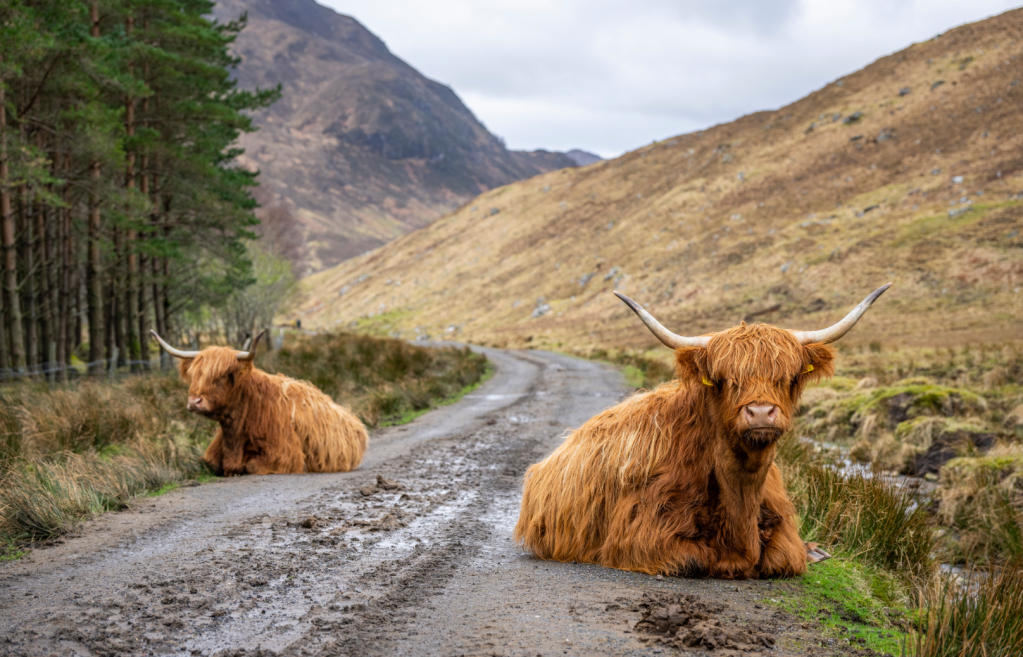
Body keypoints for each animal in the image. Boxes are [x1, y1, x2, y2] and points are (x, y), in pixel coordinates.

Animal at [514, 284, 891, 579]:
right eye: (725, 380)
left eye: (788, 377)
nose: (760, 412)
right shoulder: (637, 536)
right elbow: (696, 560)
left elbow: (783, 559)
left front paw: (807, 552)